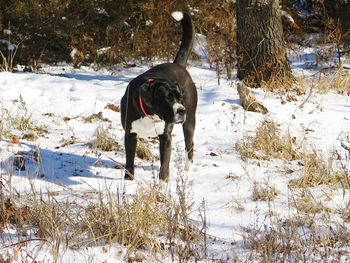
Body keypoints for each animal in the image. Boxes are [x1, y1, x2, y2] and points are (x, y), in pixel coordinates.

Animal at [120, 11, 197, 183]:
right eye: (167, 98)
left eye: (180, 98)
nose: (181, 110)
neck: (151, 114)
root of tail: (178, 65)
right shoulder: (130, 134)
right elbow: (129, 160)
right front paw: (128, 180)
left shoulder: (166, 137)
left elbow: (165, 165)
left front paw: (163, 185)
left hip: (190, 121)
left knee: (190, 145)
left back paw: (188, 169)